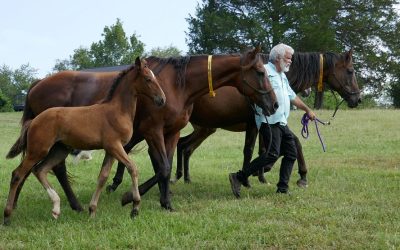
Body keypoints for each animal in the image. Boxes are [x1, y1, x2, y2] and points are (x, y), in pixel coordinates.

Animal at [3, 57, 166, 226]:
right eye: (148, 79)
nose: (162, 99)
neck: (117, 110)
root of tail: (34, 120)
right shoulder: (114, 146)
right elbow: (132, 168)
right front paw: (134, 208)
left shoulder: (111, 150)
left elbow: (102, 176)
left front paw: (92, 210)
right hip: (38, 150)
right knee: (18, 174)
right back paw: (7, 215)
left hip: (59, 150)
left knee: (40, 170)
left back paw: (56, 208)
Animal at [8, 46, 278, 211]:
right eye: (260, 71)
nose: (274, 103)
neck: (177, 86)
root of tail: (37, 84)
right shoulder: (153, 132)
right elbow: (163, 167)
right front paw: (131, 197)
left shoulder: (171, 133)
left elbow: (164, 168)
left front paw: (164, 201)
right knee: (47, 169)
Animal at [167, 49, 360, 186]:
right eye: (350, 71)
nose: (357, 99)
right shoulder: (254, 124)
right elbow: (251, 150)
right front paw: (249, 178)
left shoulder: (266, 125)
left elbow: (272, 148)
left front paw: (264, 175)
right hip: (202, 128)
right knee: (183, 145)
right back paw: (176, 177)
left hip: (205, 128)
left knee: (185, 146)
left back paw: (184, 178)